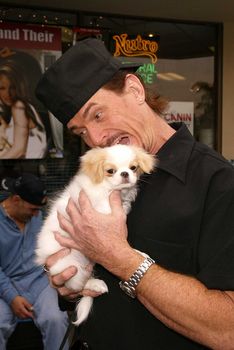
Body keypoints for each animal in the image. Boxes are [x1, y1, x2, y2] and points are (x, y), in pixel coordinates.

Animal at [35, 144, 155, 326]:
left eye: (133, 168)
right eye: (110, 171)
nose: (125, 174)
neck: (110, 190)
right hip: (69, 265)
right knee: (78, 286)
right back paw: (96, 285)